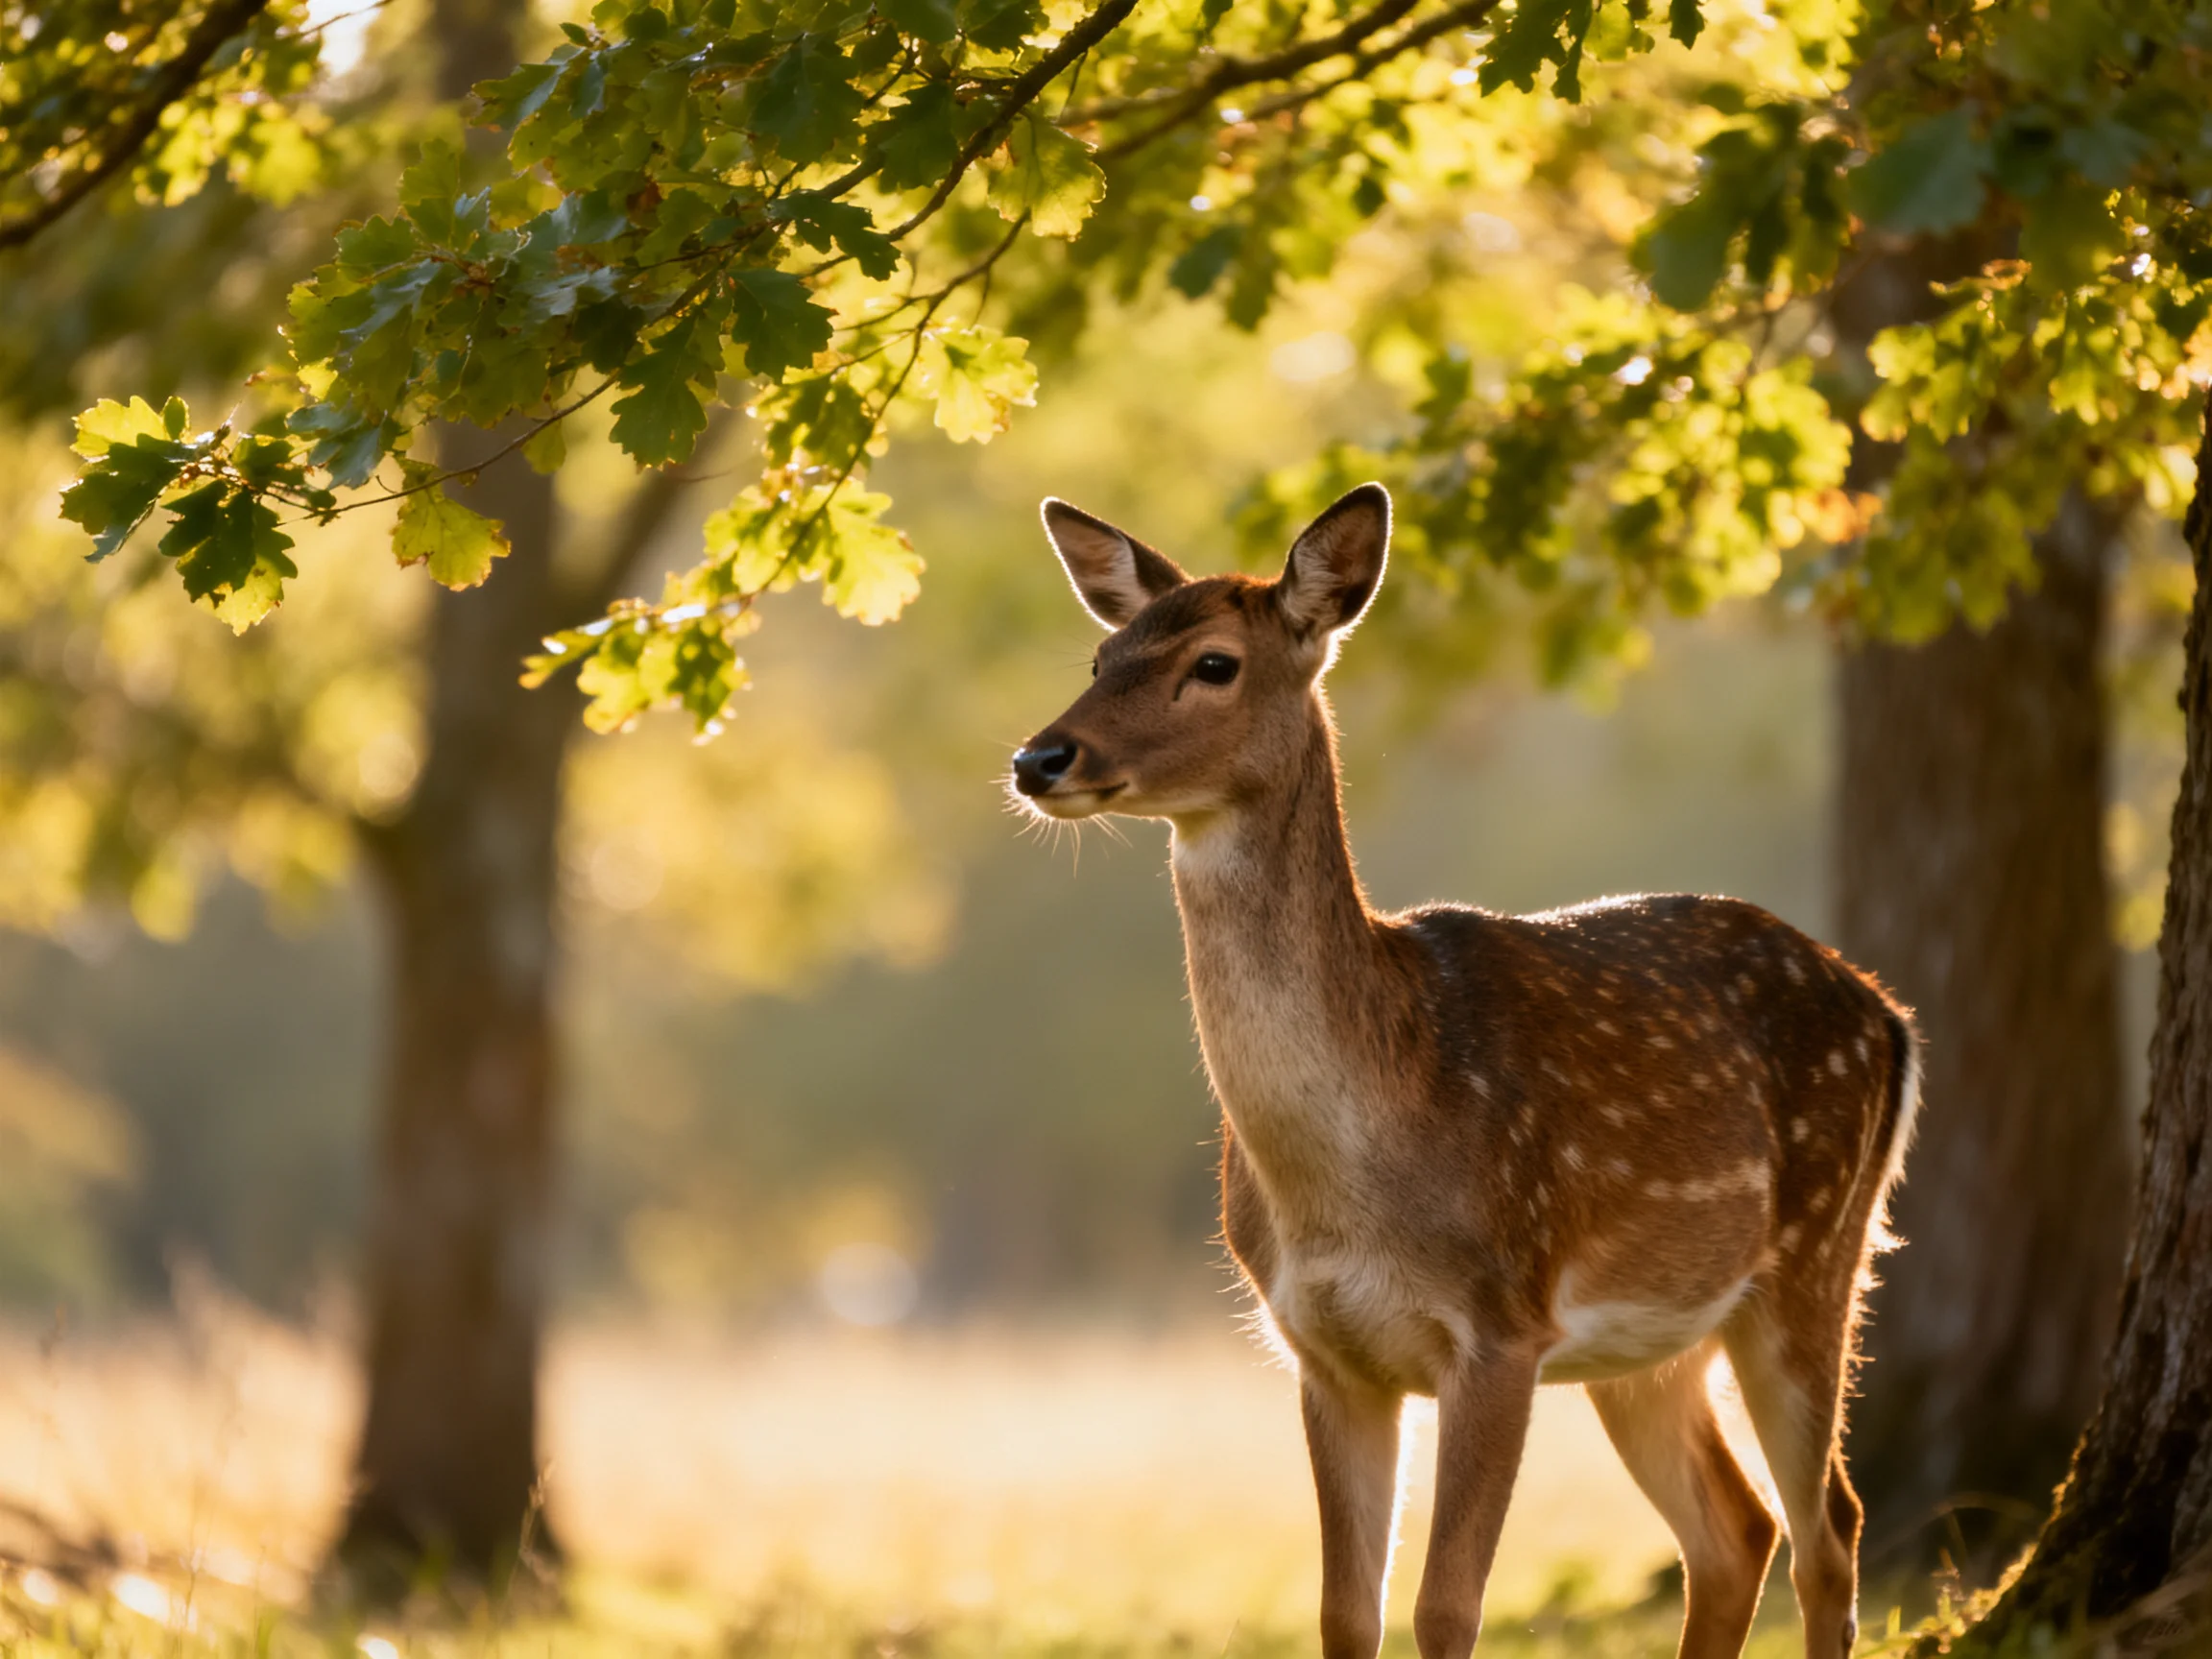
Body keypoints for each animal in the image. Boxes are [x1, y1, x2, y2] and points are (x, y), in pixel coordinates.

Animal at [1008, 483, 1920, 1659]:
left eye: (1212, 663)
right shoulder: (1324, 1351)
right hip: (1654, 1337)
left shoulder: (1501, 1322)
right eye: (1101, 654)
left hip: (1816, 1253)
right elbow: (1346, 1614)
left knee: (1830, 1530)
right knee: (1736, 1531)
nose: (1040, 759)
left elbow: (1447, 1607)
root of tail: (1888, 1014)